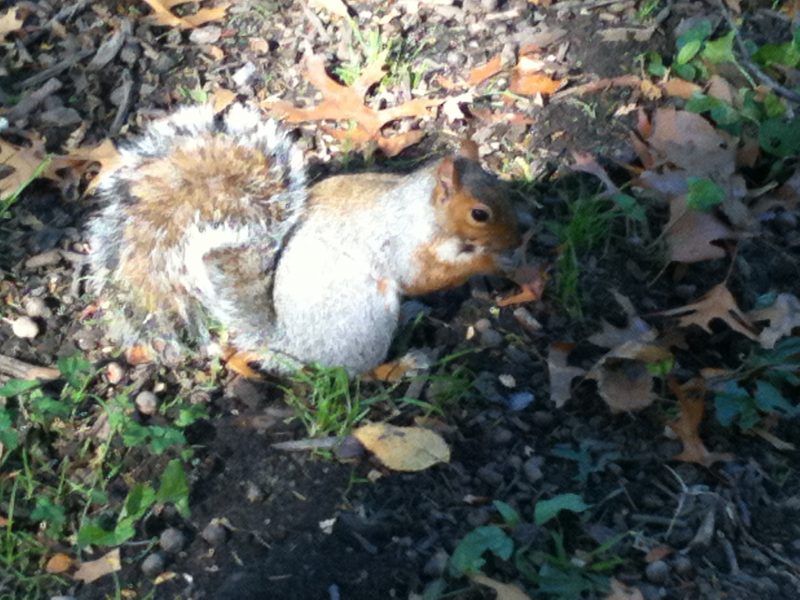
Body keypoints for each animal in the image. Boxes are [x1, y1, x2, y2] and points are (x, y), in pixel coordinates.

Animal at [86, 103, 521, 376]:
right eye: (479, 213)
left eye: (503, 188)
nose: (519, 237)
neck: (419, 208)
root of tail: (288, 344)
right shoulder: (402, 246)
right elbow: (424, 277)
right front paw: (490, 260)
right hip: (364, 321)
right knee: (353, 374)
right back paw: (401, 366)